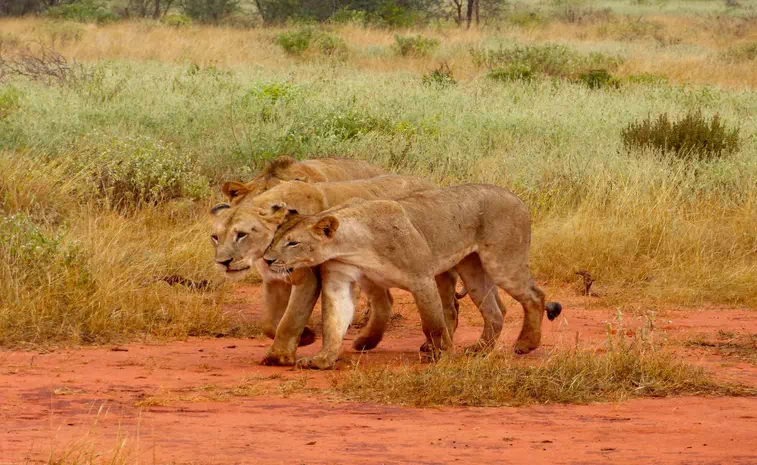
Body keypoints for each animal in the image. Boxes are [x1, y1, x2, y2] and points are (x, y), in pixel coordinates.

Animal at [208, 175, 460, 366]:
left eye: (241, 235)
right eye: (215, 237)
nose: (223, 262)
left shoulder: (309, 279)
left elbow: (290, 319)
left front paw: (279, 356)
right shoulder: (274, 282)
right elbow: (270, 323)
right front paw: (305, 337)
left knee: (443, 301)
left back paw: (433, 343)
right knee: (385, 301)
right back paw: (366, 341)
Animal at [264, 182, 560, 366]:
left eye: (293, 243)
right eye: (274, 238)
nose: (267, 259)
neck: (354, 244)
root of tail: (517, 197)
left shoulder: (421, 277)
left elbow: (433, 322)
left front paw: (440, 355)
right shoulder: (339, 279)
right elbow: (333, 322)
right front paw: (322, 359)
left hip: (502, 262)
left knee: (535, 296)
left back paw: (526, 344)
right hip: (473, 269)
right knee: (495, 310)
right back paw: (480, 350)